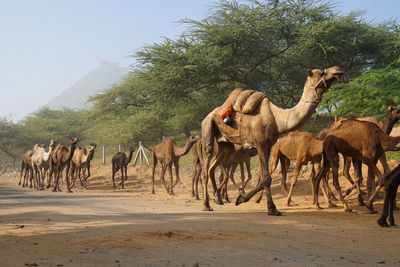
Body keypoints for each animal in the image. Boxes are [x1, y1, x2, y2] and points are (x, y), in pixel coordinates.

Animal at [202, 66, 342, 213]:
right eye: (321, 73)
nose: (338, 70)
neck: (277, 119)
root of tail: (212, 113)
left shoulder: (268, 145)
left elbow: (263, 178)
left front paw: (241, 199)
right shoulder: (260, 144)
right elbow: (266, 177)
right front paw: (272, 208)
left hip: (225, 145)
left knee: (212, 167)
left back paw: (217, 200)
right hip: (207, 128)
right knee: (205, 167)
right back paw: (206, 205)